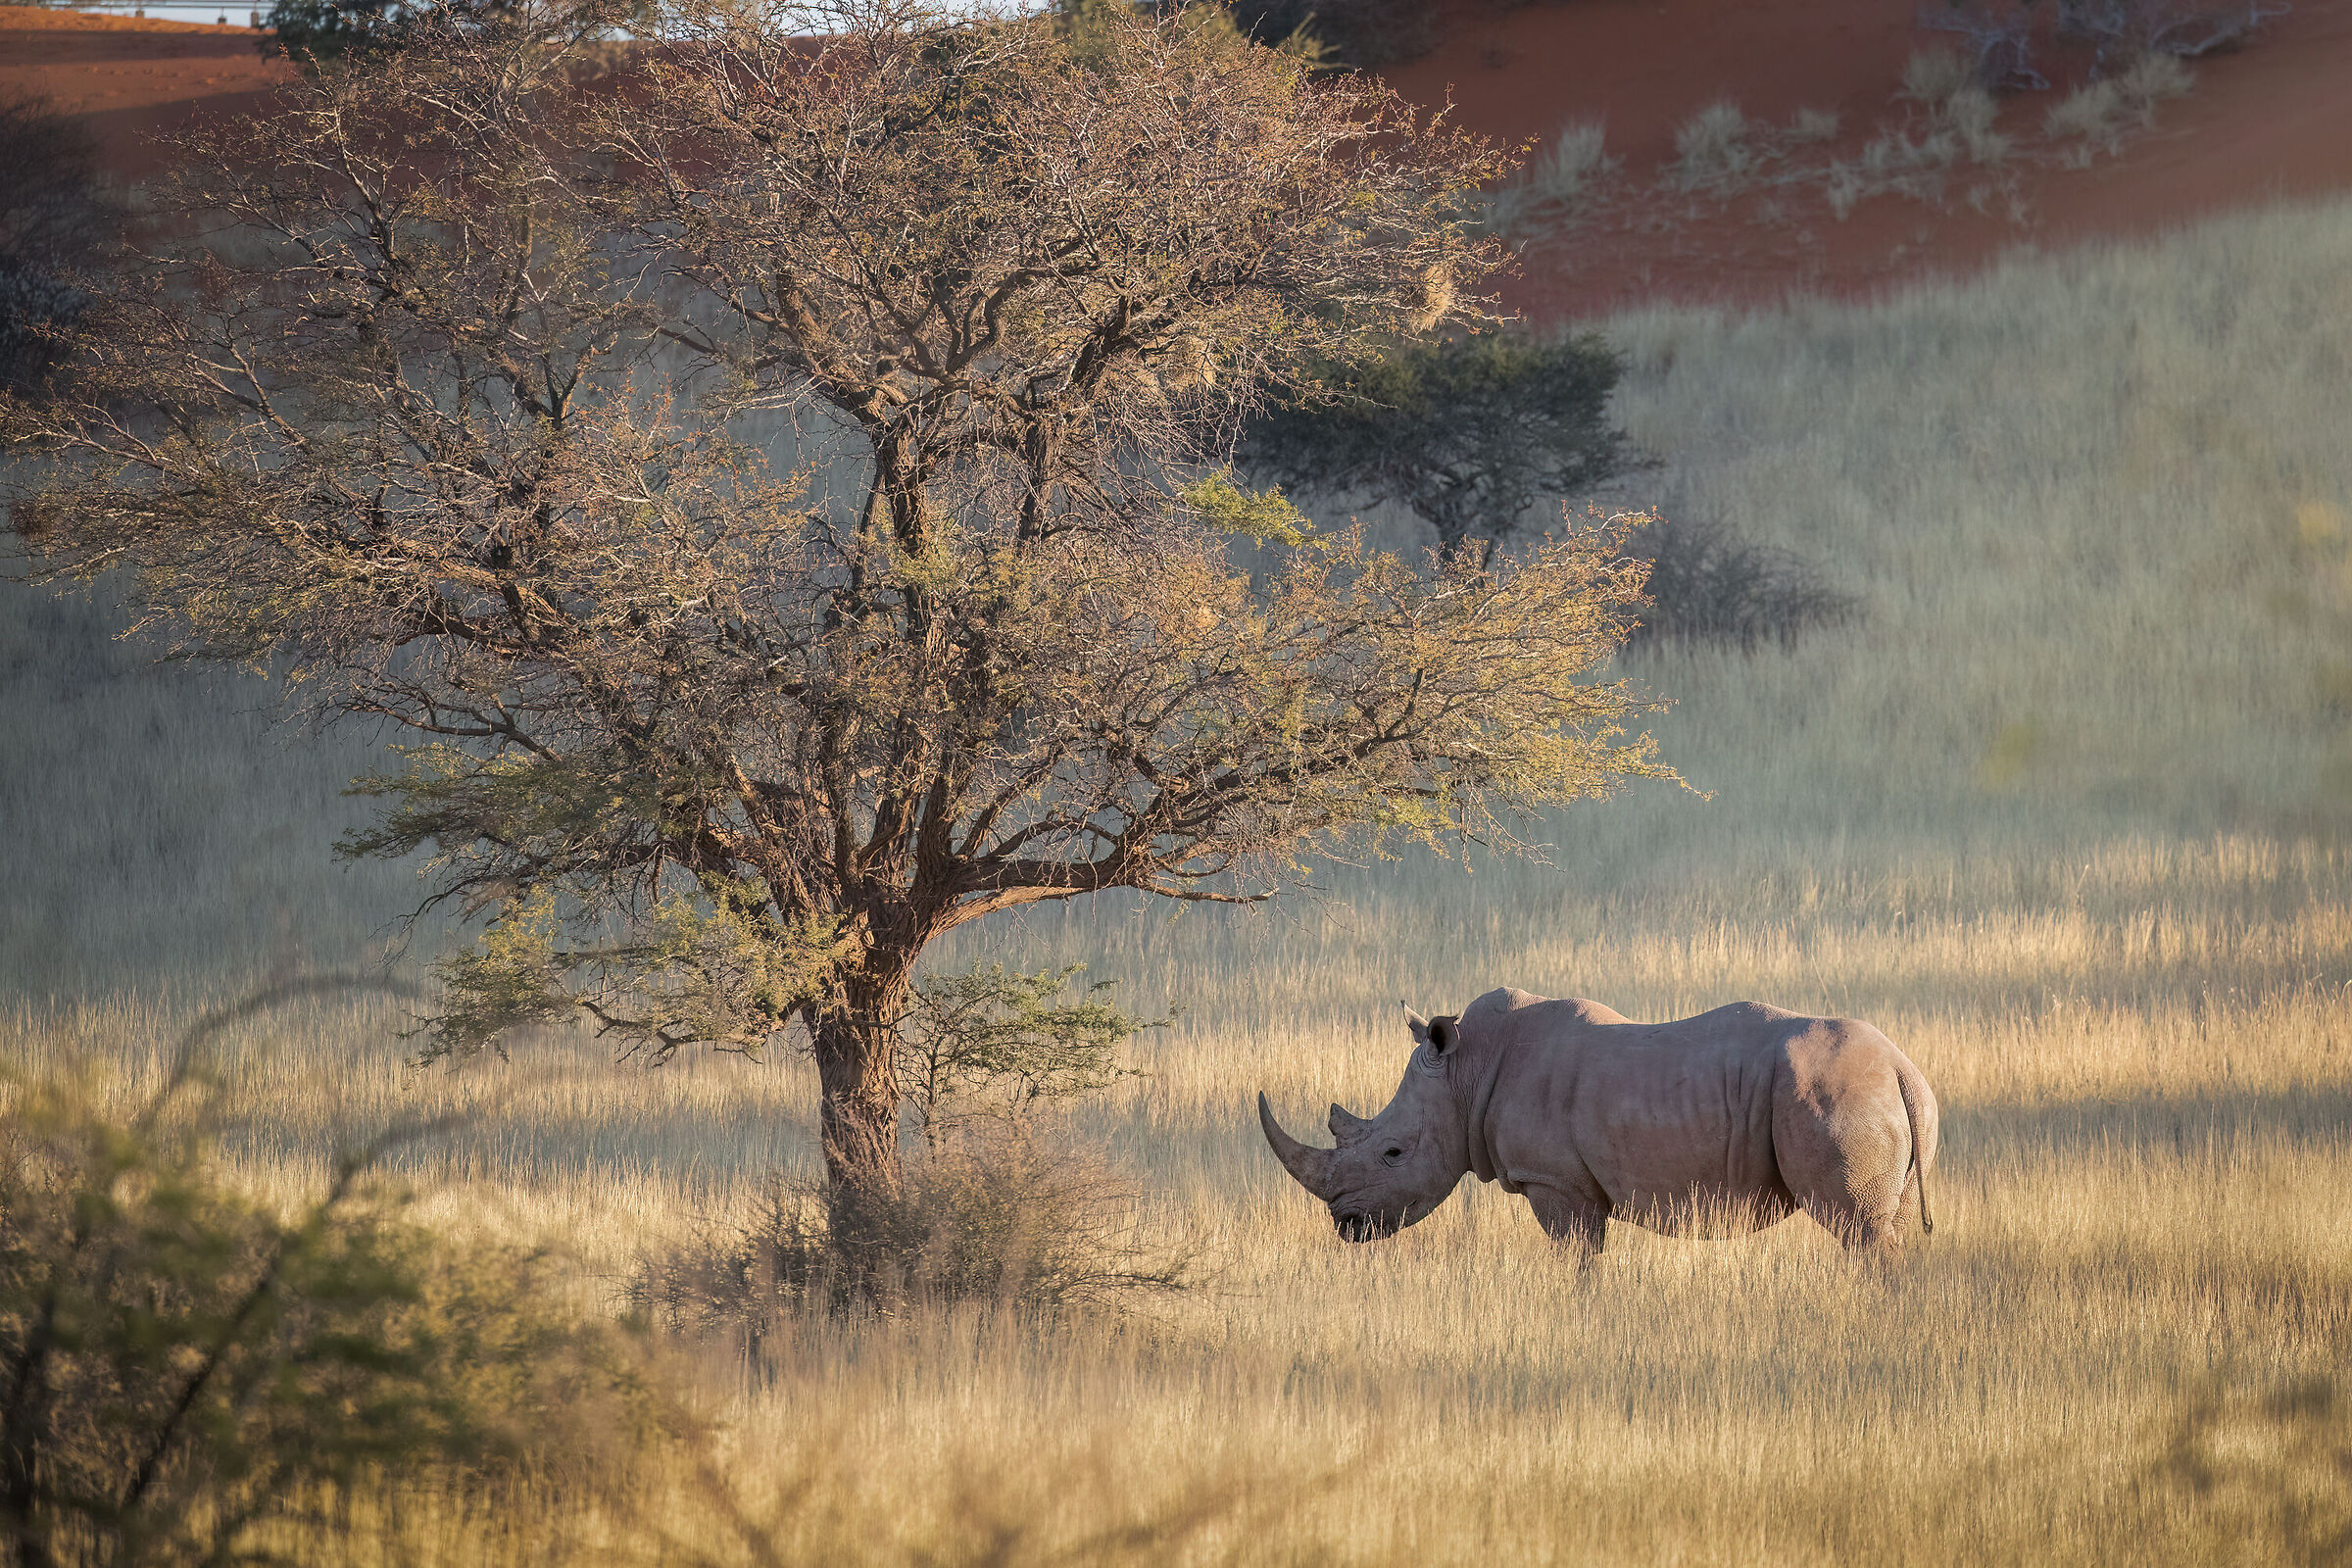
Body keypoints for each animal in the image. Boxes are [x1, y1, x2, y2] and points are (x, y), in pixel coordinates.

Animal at [1257, 987, 1938, 1254]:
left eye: (1393, 1153)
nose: (1344, 1225)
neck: (1466, 1071)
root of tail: (1899, 1069)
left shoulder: (1556, 1182)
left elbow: (1577, 1262)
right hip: (1894, 1103)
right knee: (1889, 1225)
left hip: (1836, 1097)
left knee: (1858, 1230)